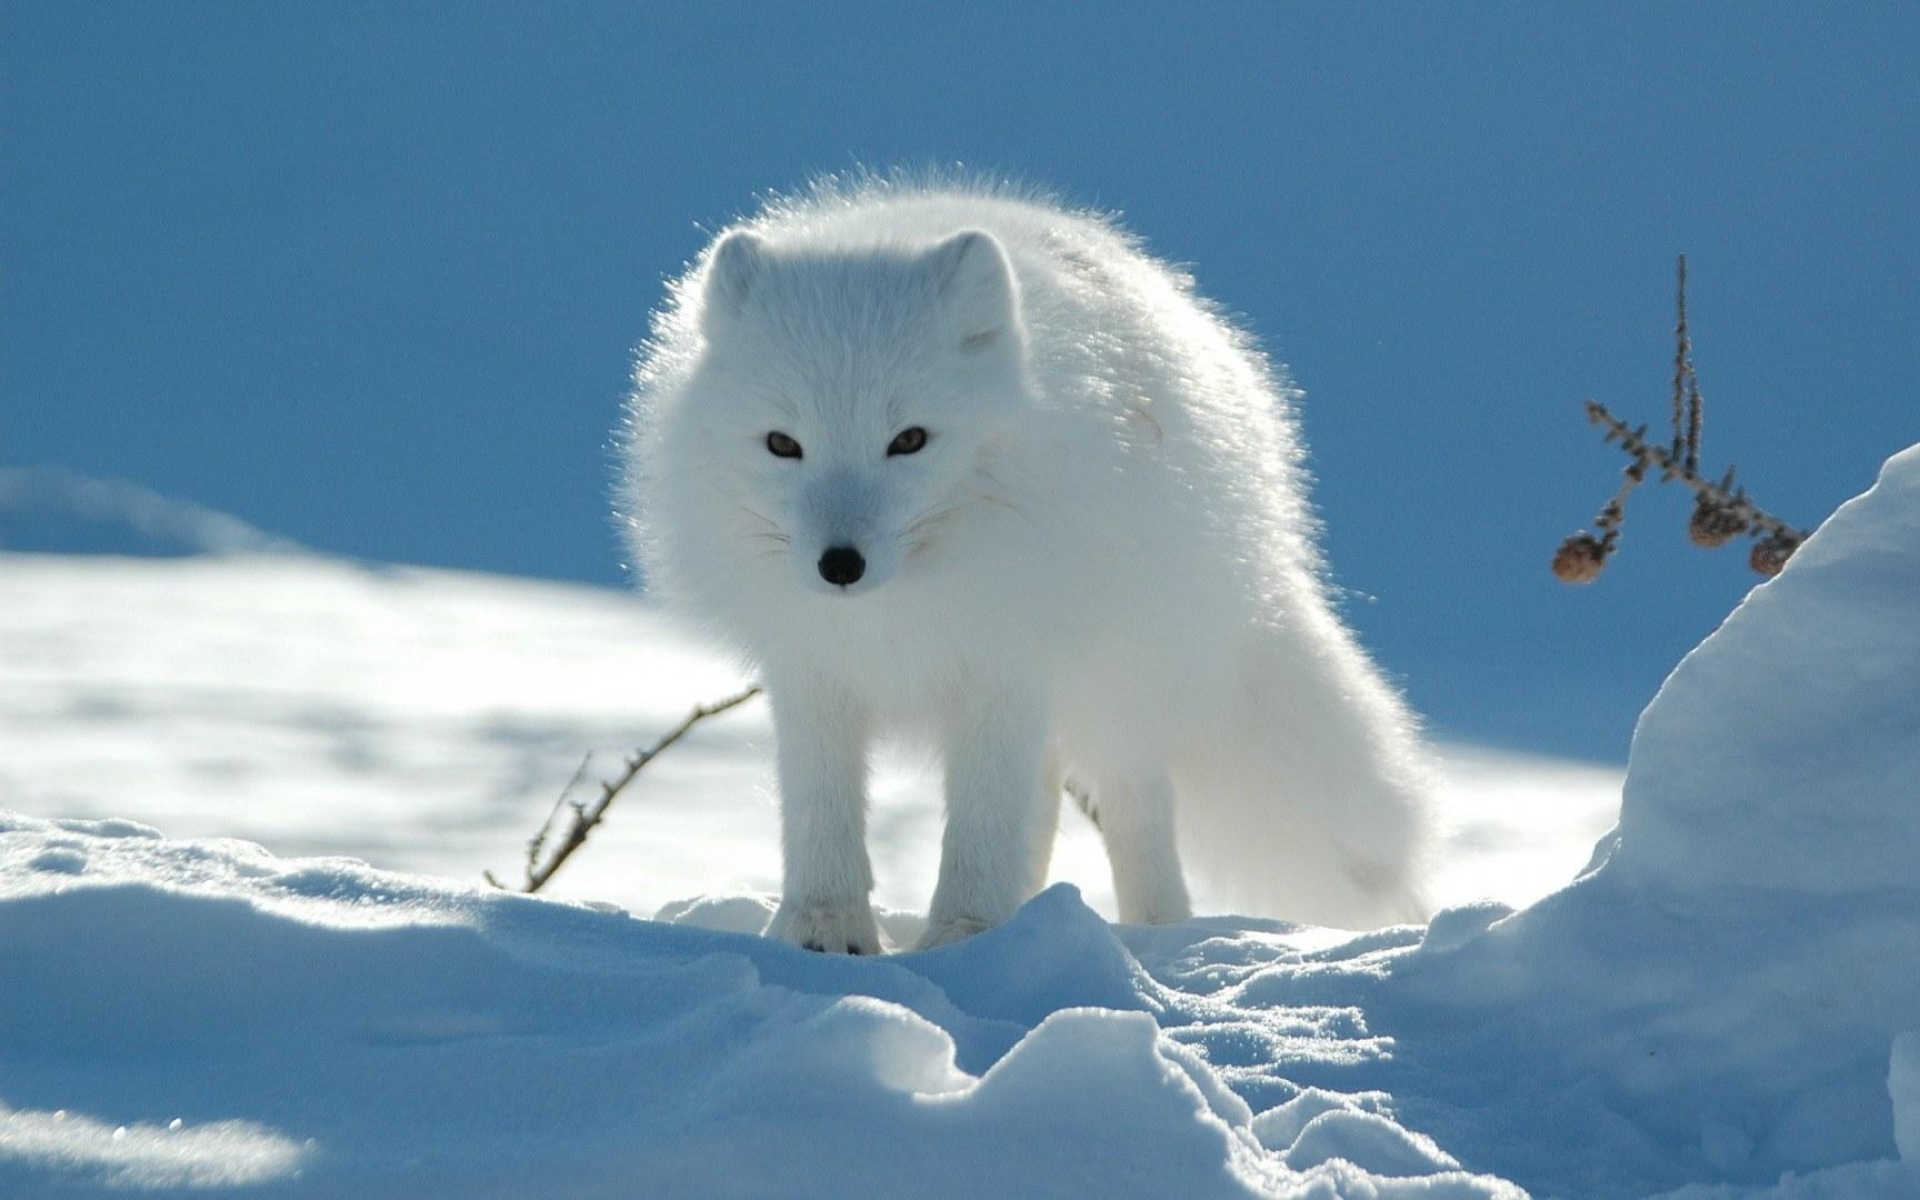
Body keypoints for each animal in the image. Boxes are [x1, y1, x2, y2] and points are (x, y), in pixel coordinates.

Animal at [623, 177, 1436, 953]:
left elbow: (983, 824)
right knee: (1042, 804)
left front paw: (965, 936)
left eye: (909, 440)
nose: (839, 565)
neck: (899, 609)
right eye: (782, 444)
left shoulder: (1004, 666)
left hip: (1122, 681)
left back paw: (1155, 932)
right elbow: (821, 809)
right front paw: (823, 929)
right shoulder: (812, 671)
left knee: (1133, 805)